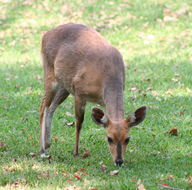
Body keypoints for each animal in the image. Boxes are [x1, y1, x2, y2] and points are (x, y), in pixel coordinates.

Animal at [39, 23, 146, 166]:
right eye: (109, 138)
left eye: (127, 139)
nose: (119, 161)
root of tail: (45, 34)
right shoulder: (79, 92)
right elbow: (79, 122)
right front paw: (76, 152)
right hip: (50, 74)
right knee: (43, 106)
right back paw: (42, 150)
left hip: (64, 86)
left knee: (51, 108)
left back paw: (48, 143)